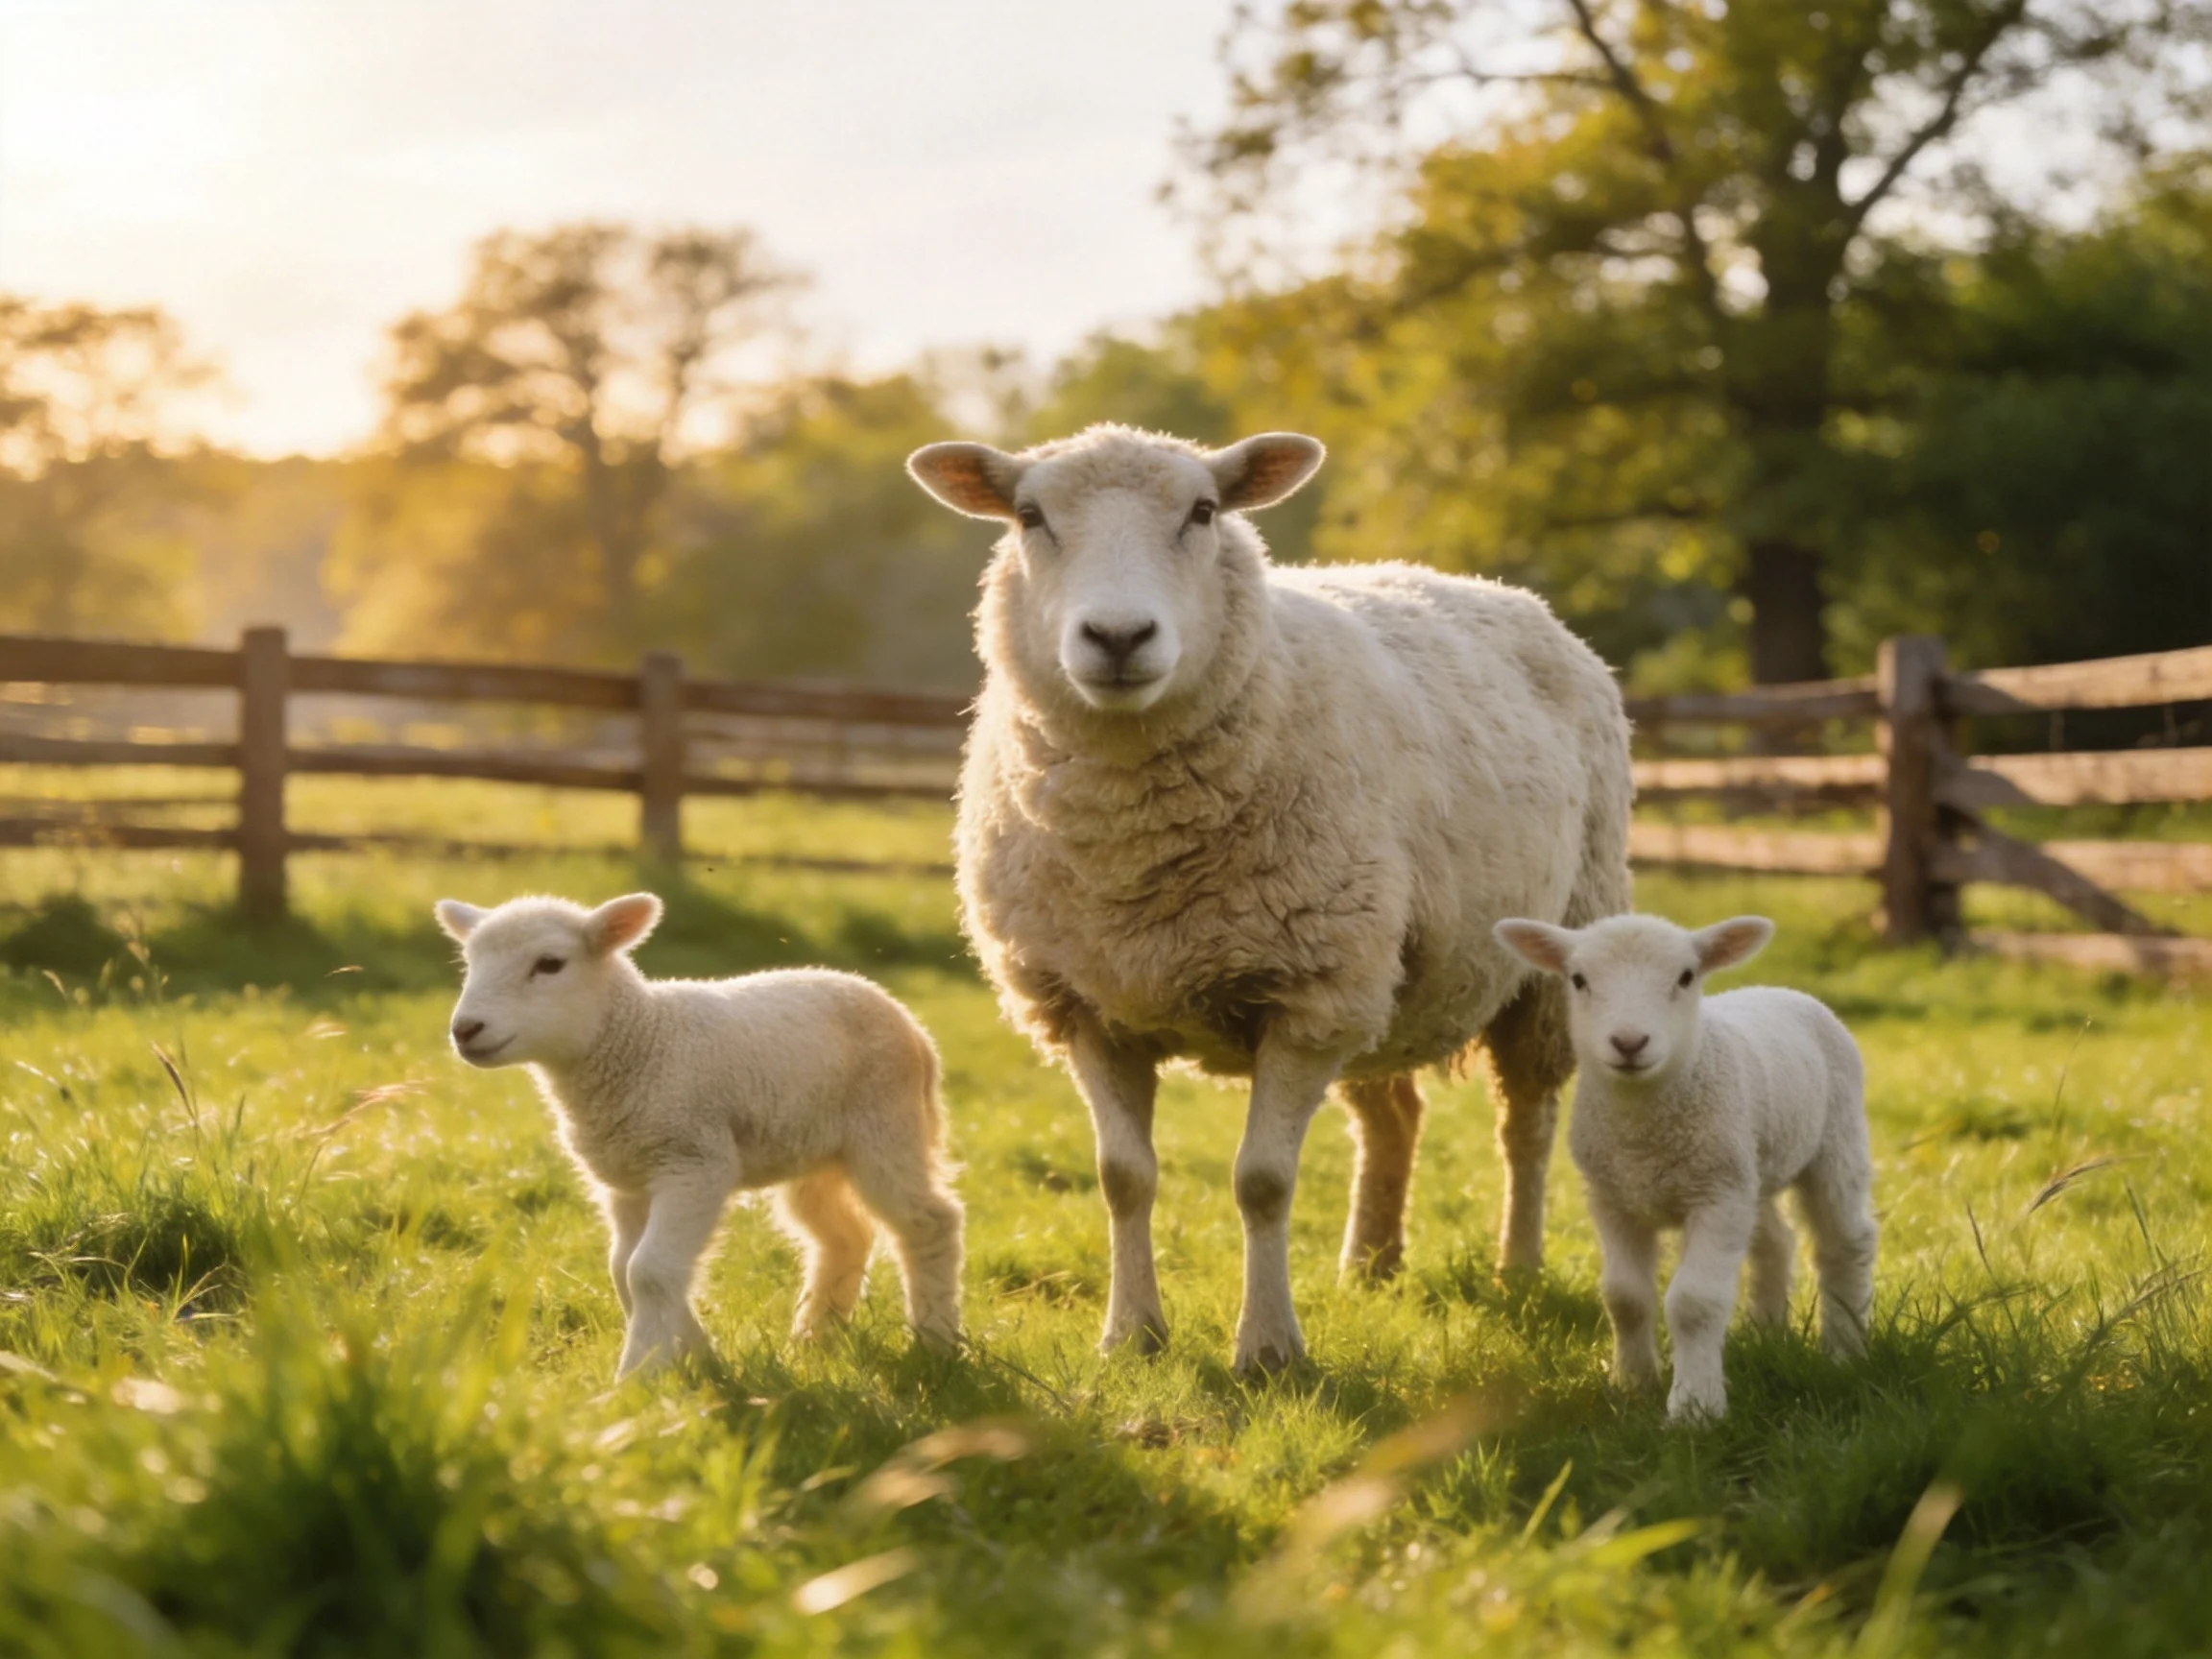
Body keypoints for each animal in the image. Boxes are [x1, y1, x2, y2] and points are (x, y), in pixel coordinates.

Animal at [435, 892, 963, 1379]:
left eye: (549, 964)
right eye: (469, 963)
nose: (466, 1030)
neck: (642, 1041)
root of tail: (915, 1030)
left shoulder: (694, 1161)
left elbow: (647, 1270)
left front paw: (637, 1376)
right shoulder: (627, 1180)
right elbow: (626, 1268)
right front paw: (698, 1356)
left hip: (885, 1129)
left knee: (931, 1222)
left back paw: (937, 1342)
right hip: (814, 1153)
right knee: (844, 1236)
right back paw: (814, 1338)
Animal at [906, 423, 1633, 1374]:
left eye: (1204, 511)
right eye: (1029, 516)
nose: (1117, 635)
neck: (1134, 859)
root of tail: (1500, 592)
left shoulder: (1306, 997)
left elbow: (1262, 1181)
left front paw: (1268, 1350)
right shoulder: (1088, 1004)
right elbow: (1122, 1177)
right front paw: (1131, 1335)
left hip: (1549, 953)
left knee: (1526, 1124)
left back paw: (1518, 1268)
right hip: (1383, 974)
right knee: (1393, 1115)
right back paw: (1370, 1266)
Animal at [1493, 912, 1877, 1421]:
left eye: (1686, 977)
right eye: (1578, 979)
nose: (1629, 1042)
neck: (1642, 1137)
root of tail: (1781, 990)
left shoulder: (1715, 1197)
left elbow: (1695, 1302)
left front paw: (1696, 1407)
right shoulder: (1613, 1197)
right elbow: (1625, 1297)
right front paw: (1631, 1384)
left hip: (1833, 1140)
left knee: (1845, 1244)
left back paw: (1844, 1353)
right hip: (1748, 1166)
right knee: (1775, 1241)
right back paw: (1766, 1334)